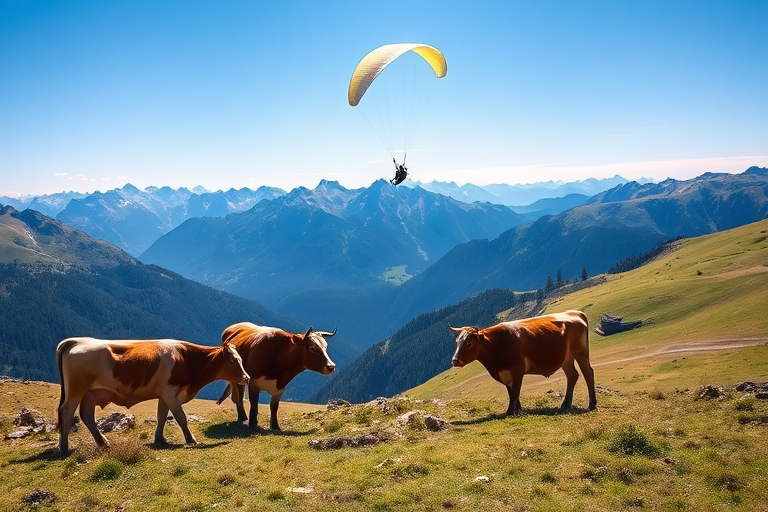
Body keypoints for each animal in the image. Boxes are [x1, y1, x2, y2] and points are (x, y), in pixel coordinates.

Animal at [56, 337, 250, 454]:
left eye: (241, 359)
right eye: (232, 361)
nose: (247, 377)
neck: (186, 360)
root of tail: (78, 341)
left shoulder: (164, 395)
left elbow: (162, 416)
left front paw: (160, 439)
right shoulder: (170, 392)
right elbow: (181, 417)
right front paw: (191, 439)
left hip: (89, 393)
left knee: (87, 416)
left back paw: (103, 442)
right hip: (76, 391)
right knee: (66, 412)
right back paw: (64, 447)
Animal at [449, 309, 597, 416]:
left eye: (469, 343)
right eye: (457, 342)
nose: (455, 360)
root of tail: (575, 313)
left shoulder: (518, 369)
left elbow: (515, 391)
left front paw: (510, 412)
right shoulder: (504, 373)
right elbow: (511, 391)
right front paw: (518, 409)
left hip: (580, 352)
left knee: (587, 372)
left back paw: (592, 404)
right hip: (566, 358)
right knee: (572, 375)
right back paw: (565, 405)